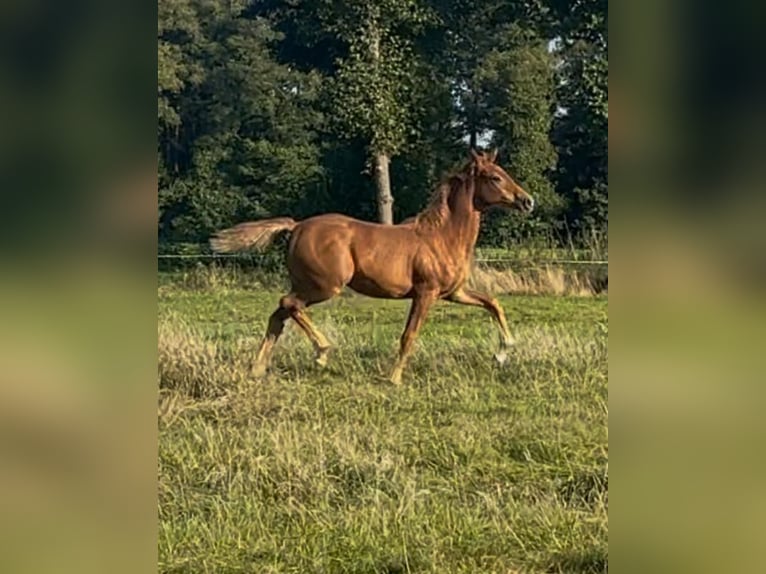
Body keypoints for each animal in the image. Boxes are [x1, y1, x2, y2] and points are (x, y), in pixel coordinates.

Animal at [210, 149, 534, 384]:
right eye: (495, 177)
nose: (527, 201)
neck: (442, 236)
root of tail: (297, 226)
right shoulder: (426, 293)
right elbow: (409, 335)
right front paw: (394, 379)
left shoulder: (454, 293)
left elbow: (493, 303)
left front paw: (503, 353)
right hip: (324, 286)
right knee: (288, 305)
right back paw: (322, 351)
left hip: (307, 285)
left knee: (279, 315)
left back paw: (257, 369)